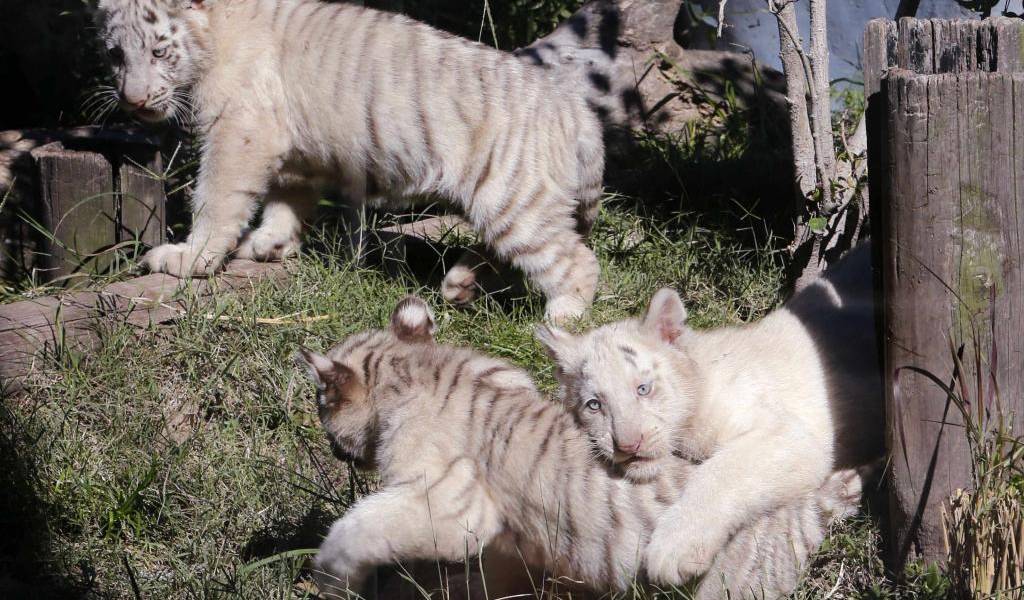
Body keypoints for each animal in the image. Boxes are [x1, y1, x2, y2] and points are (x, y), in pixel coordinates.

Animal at [93, 0, 605, 322]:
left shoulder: (240, 132)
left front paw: (190, 259)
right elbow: (286, 199)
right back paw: (460, 284)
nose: (133, 101)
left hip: (513, 198)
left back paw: (563, 315)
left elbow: (216, 199)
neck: (214, 37)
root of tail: (576, 110)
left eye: (159, 51)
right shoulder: (292, 148)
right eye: (115, 54)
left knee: (576, 259)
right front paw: (271, 244)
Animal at [297, 296, 867, 599]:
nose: (332, 446)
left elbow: (358, 527)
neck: (414, 368)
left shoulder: (451, 501)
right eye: (592, 404)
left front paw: (328, 577)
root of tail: (806, 509)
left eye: (322, 406)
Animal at [535, 243, 882, 586]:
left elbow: (721, 470)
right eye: (594, 404)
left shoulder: (792, 435)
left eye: (643, 389)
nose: (628, 445)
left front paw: (673, 548)